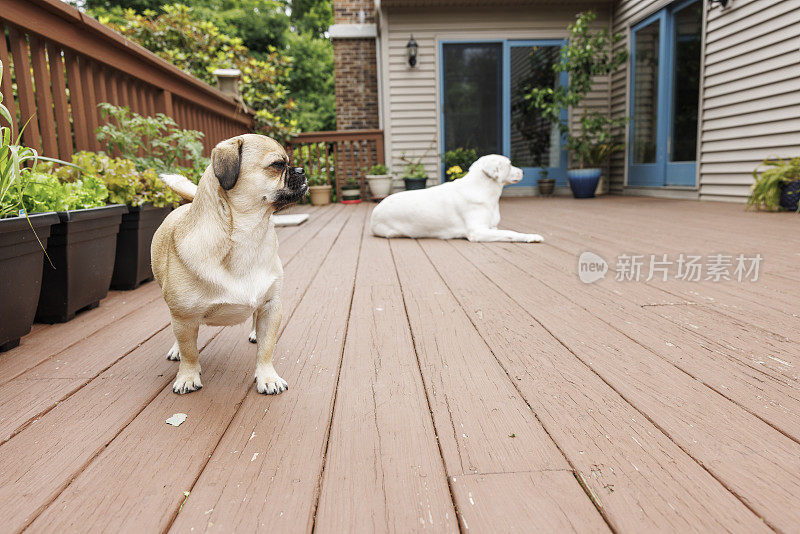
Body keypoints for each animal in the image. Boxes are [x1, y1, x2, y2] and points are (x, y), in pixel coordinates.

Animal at [152, 135, 308, 394]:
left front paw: (267, 377)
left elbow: (266, 350)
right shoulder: (183, 317)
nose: (302, 170)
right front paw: (187, 376)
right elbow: (190, 351)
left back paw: (254, 333)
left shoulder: (271, 307)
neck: (248, 236)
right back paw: (176, 350)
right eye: (277, 165)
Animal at [370, 153, 544, 241]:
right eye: (508, 164)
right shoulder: (477, 231)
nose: (524, 172)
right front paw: (532, 236)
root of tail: (376, 209)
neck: (486, 191)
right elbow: (511, 232)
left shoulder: (491, 227)